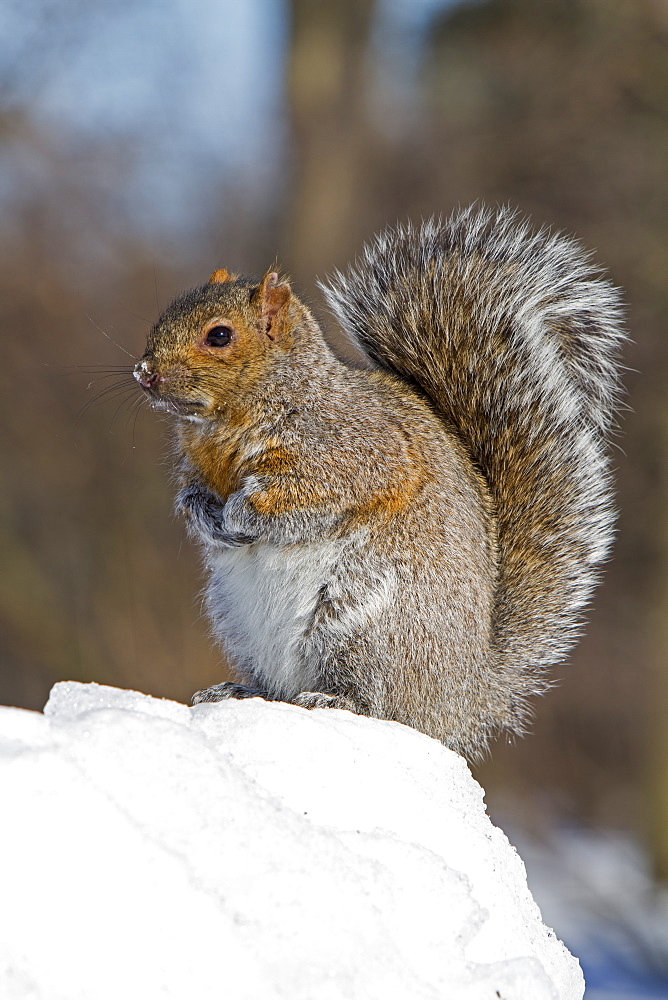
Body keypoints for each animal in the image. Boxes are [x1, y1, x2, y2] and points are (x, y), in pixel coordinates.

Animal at [136, 209, 628, 756]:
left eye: (219, 336)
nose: (144, 372)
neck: (222, 423)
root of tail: (466, 699)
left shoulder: (356, 456)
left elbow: (304, 495)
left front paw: (241, 512)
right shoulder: (196, 466)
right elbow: (191, 494)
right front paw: (209, 518)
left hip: (365, 625)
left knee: (382, 703)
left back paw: (337, 700)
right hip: (241, 625)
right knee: (278, 687)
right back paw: (240, 690)